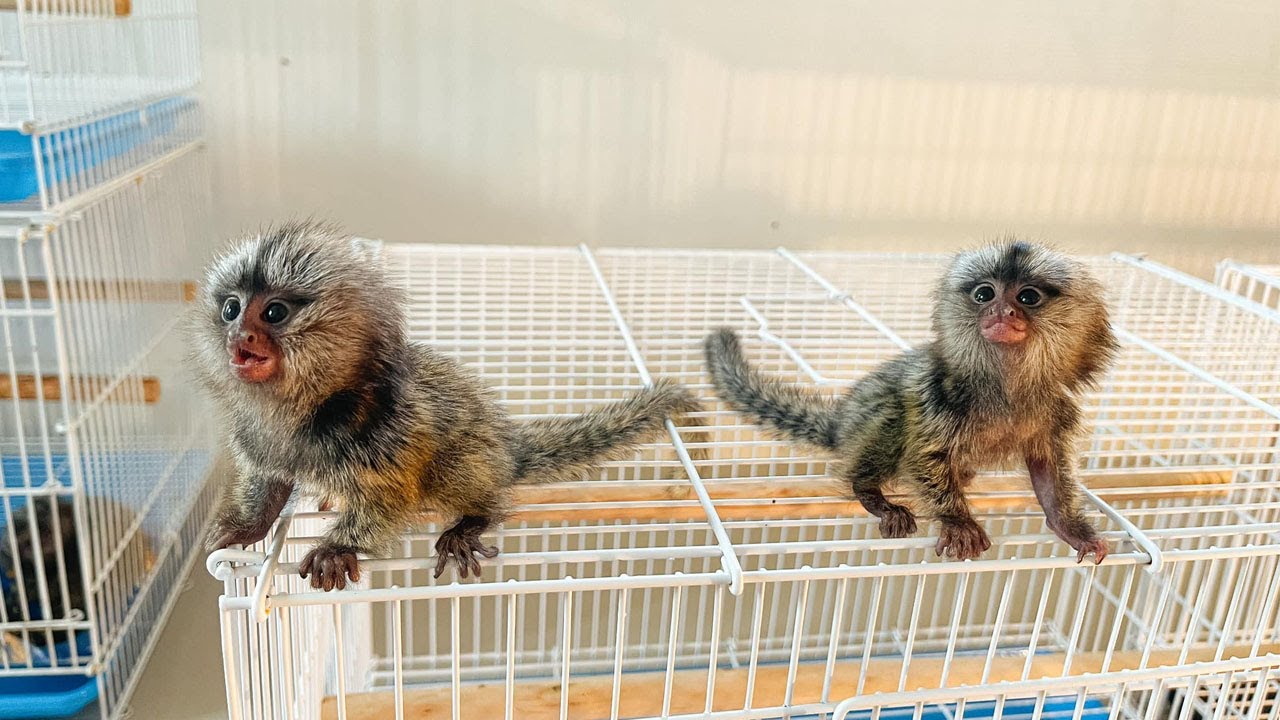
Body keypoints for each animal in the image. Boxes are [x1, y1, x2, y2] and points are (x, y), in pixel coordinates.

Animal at [191, 221, 701, 591]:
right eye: (232, 309)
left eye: (274, 312)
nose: (240, 336)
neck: (306, 404)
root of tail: (507, 446)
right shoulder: (258, 437)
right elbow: (268, 483)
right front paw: (246, 529)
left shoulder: (389, 434)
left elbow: (389, 499)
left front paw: (338, 548)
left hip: (477, 456)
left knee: (454, 466)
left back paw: (471, 518)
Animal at [704, 240, 1118, 563]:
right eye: (984, 294)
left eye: (1028, 297)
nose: (1001, 312)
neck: (1005, 385)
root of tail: (842, 422)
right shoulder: (936, 396)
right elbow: (925, 456)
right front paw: (958, 521)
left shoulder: (1057, 412)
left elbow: (1050, 473)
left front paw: (1069, 527)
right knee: (890, 413)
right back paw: (871, 493)